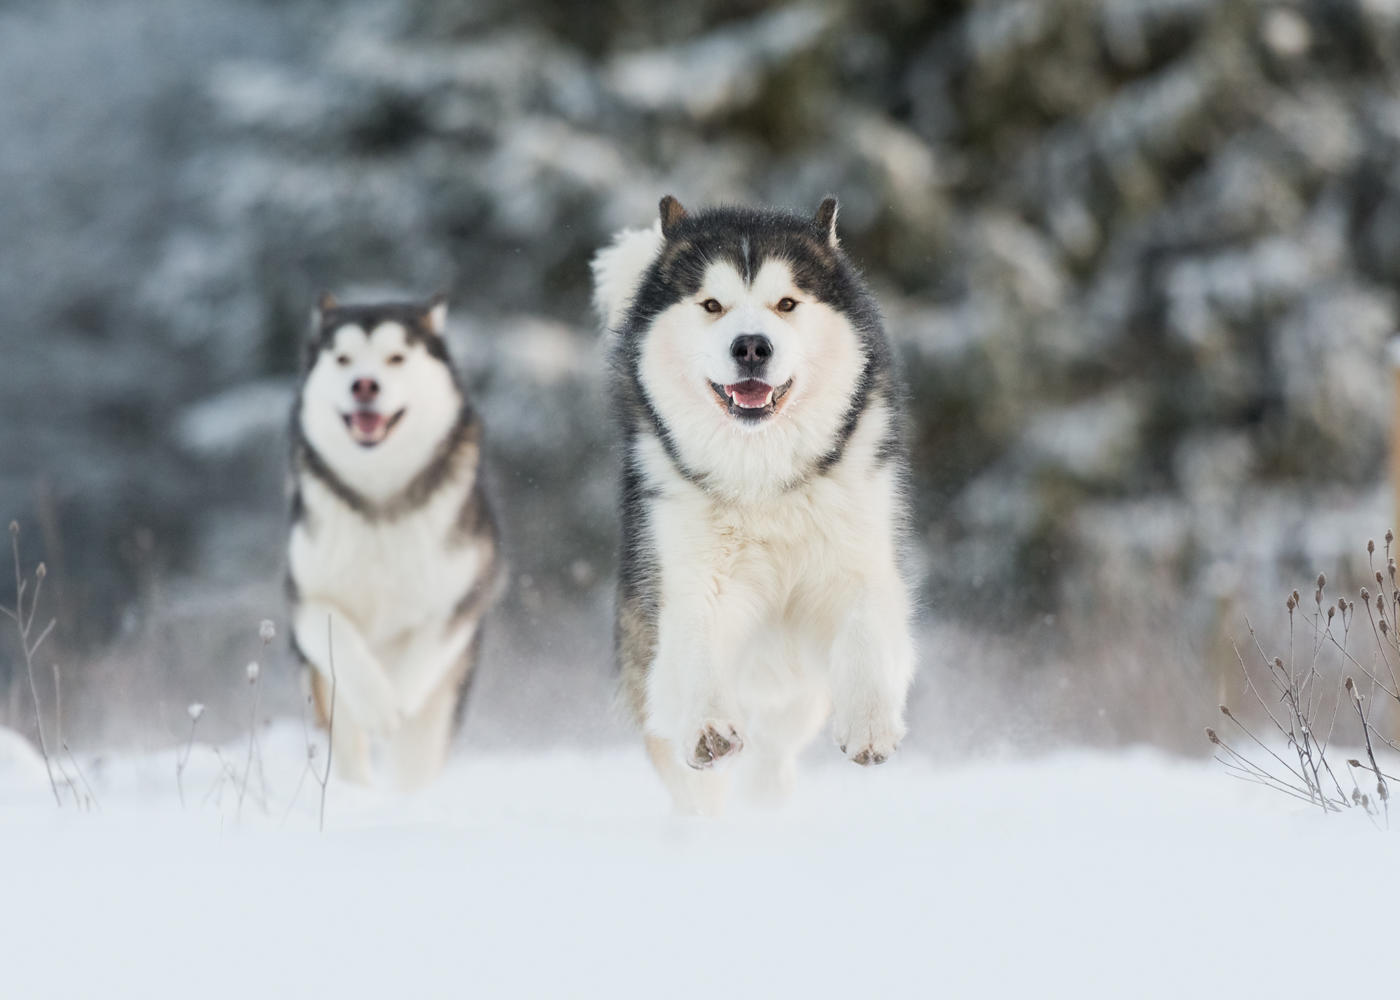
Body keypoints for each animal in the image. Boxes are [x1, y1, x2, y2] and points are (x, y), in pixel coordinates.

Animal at [287, 292, 501, 789]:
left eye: (396, 357)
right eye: (342, 358)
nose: (364, 385)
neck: (379, 500)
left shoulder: (471, 586)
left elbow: (427, 645)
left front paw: (396, 699)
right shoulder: (305, 594)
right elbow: (338, 637)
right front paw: (377, 703)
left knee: (417, 756)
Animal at [593, 194, 912, 812]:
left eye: (786, 303)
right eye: (712, 305)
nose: (751, 346)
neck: (762, 480)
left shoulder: (859, 557)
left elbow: (867, 626)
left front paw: (869, 724)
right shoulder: (688, 578)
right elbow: (696, 644)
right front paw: (708, 727)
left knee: (775, 750)